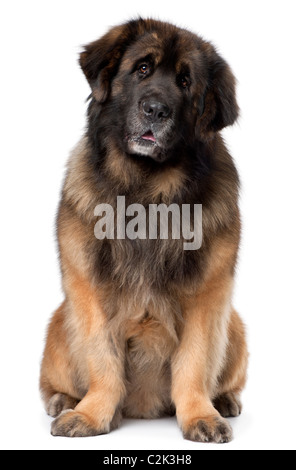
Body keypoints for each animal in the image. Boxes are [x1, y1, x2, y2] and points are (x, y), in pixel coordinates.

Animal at [39, 18, 247, 442]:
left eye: (185, 82)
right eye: (142, 69)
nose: (155, 110)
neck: (147, 191)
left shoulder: (208, 296)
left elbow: (195, 361)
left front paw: (199, 415)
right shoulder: (89, 293)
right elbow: (102, 358)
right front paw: (91, 415)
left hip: (235, 326)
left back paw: (224, 400)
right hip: (59, 328)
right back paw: (63, 399)